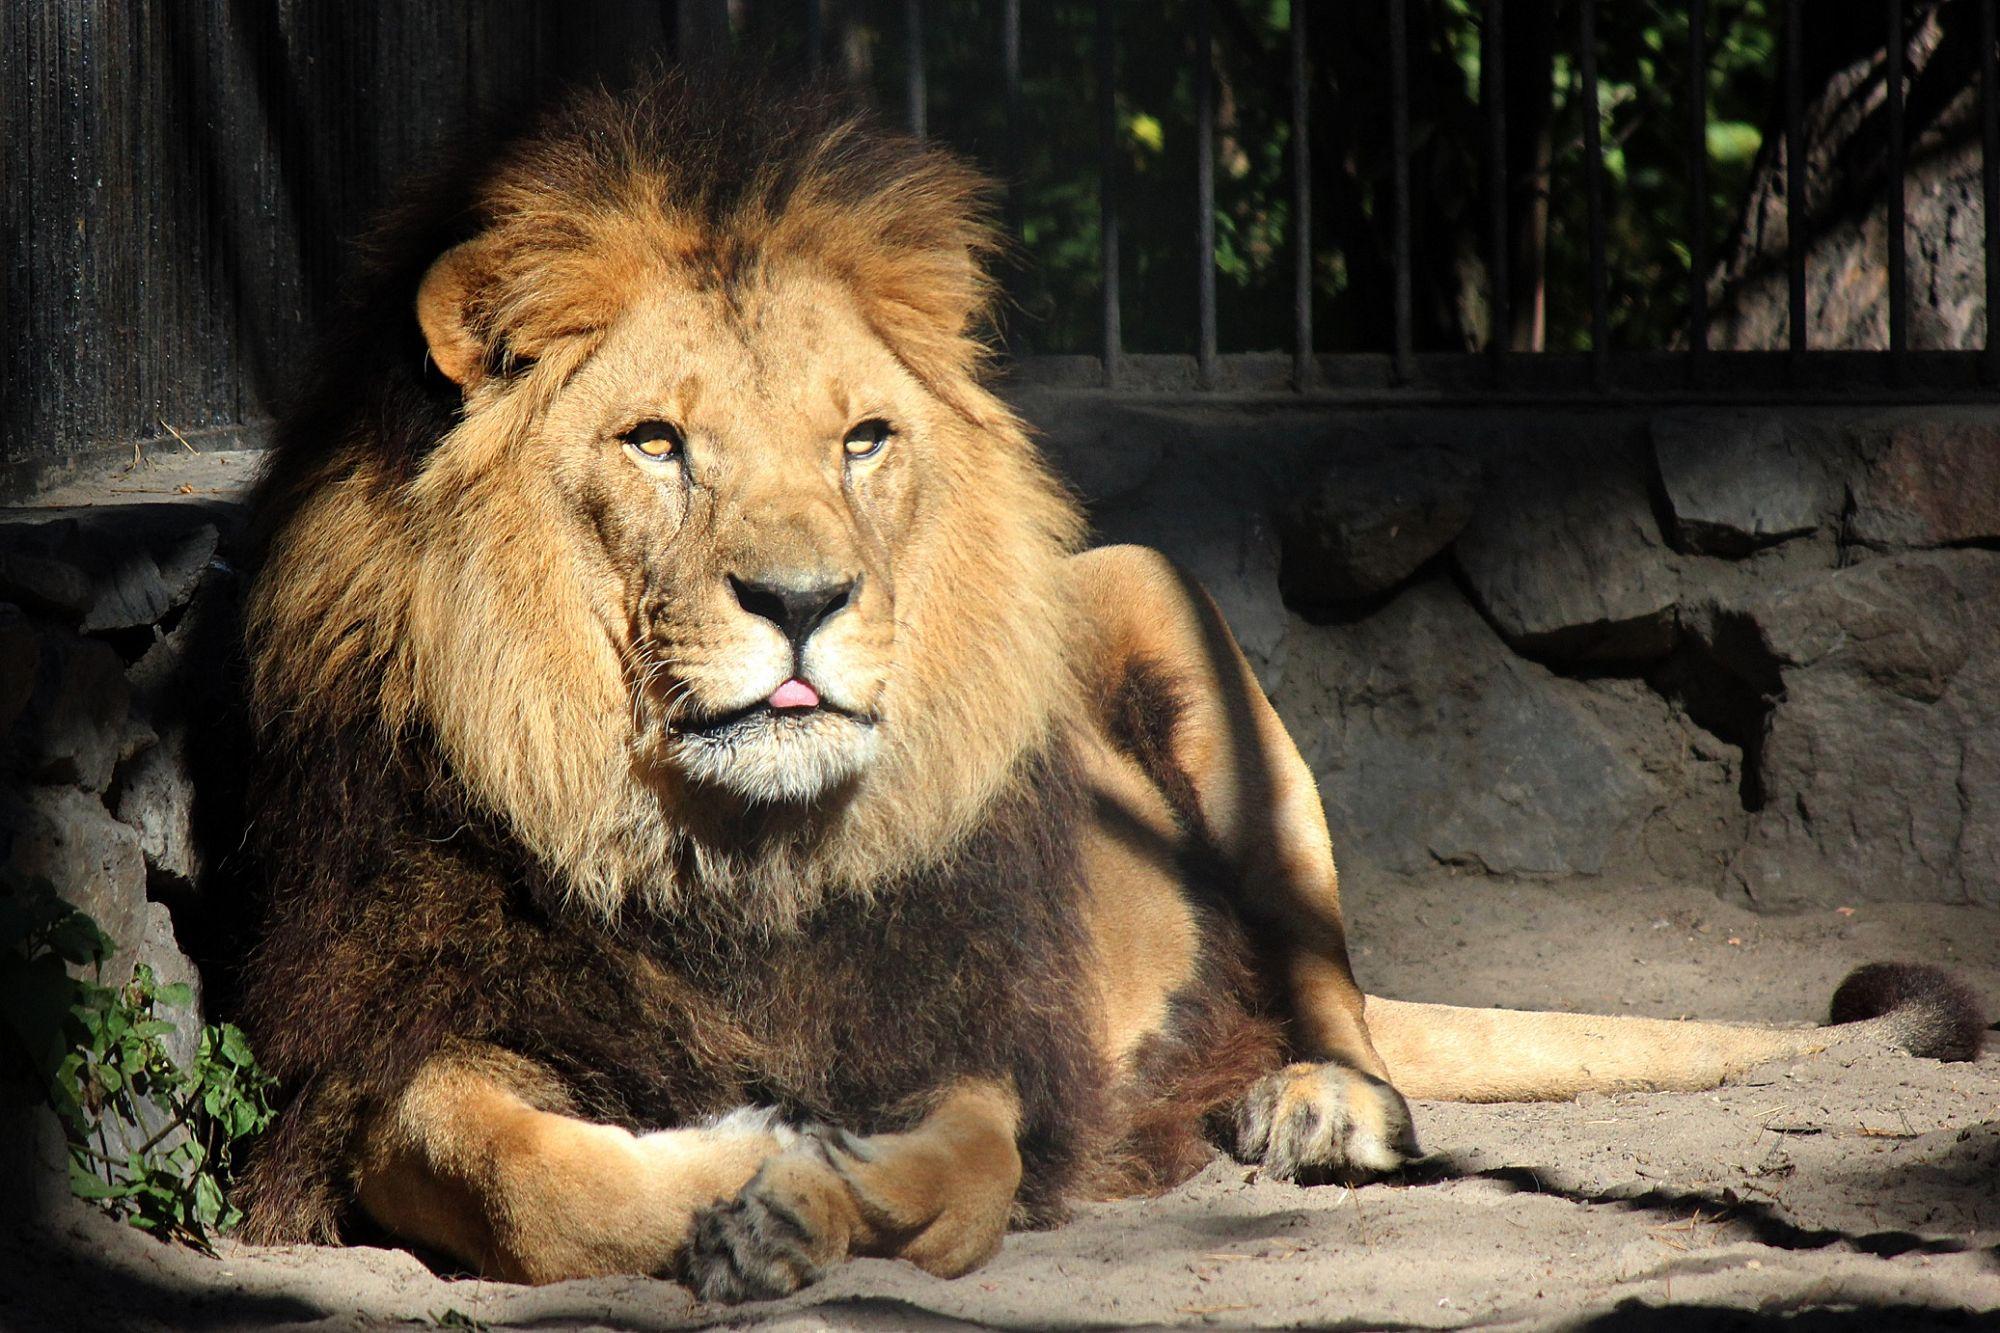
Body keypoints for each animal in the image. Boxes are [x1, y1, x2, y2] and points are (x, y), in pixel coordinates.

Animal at [232, 72, 1985, 1301]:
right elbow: (497, 1167)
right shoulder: (419, 1013)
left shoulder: (966, 1004)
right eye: (656, 442)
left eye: (863, 439)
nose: (803, 603)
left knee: (1336, 1001)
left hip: (1176, 626)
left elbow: (973, 1154)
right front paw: (739, 1178)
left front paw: (827, 1185)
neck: (732, 860)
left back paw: (1320, 1109)